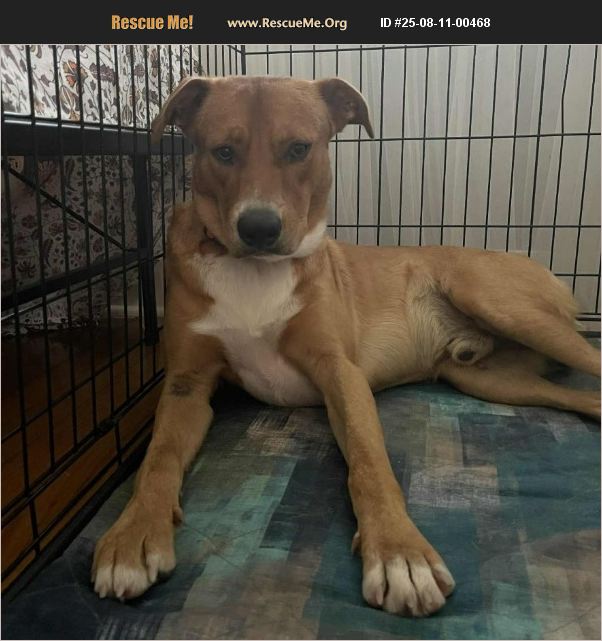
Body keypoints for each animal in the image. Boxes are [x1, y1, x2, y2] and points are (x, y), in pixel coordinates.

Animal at [92, 75, 601, 616]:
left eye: (299, 148)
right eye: (223, 151)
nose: (258, 227)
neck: (254, 272)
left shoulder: (340, 372)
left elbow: (368, 458)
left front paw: (400, 553)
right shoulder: (186, 385)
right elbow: (158, 458)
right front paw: (132, 535)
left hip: (499, 304)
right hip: (487, 379)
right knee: (583, 396)